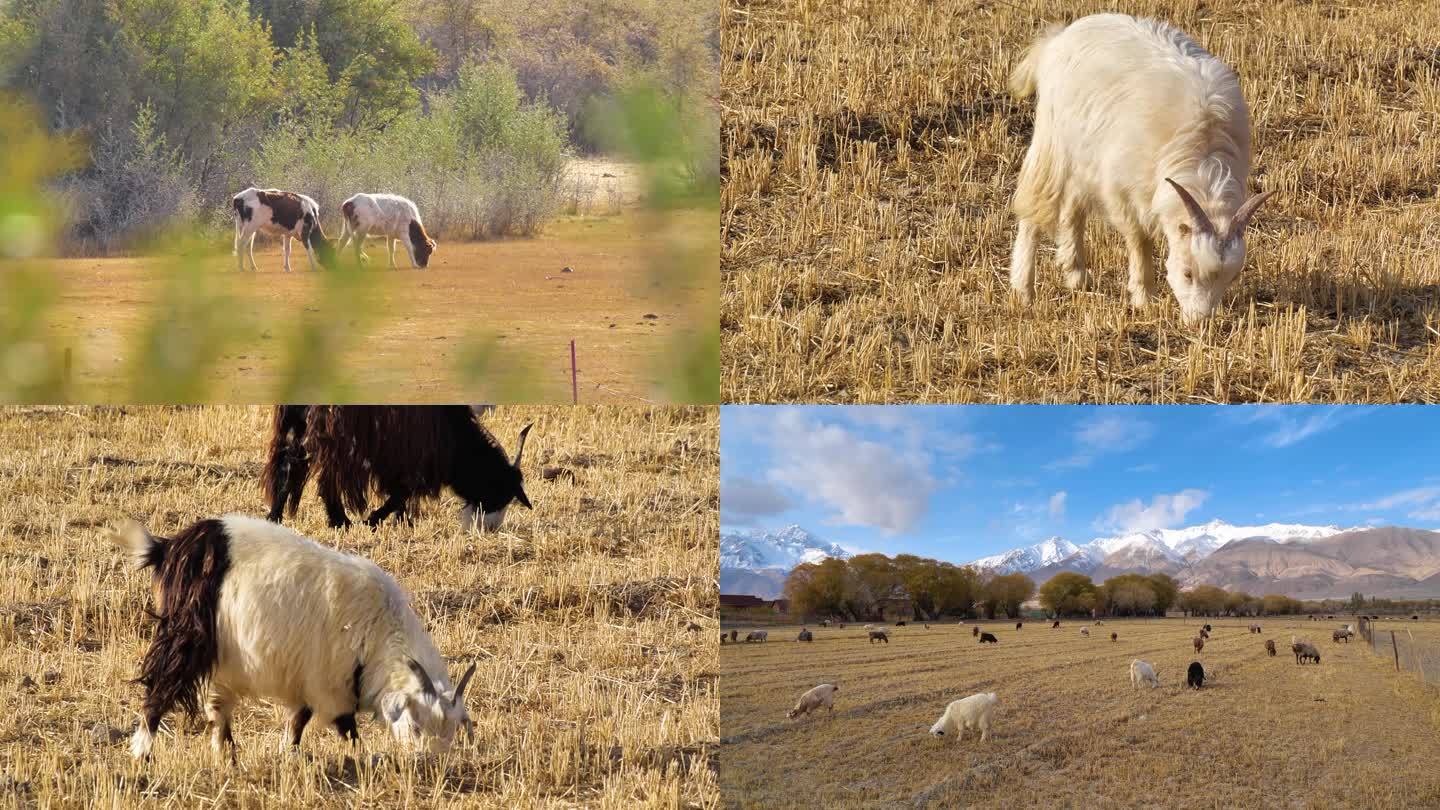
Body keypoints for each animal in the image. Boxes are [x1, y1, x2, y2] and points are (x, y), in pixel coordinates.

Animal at [113, 510, 472, 755]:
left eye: (452, 731)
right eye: (415, 726)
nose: (427, 763)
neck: (377, 631)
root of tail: (170, 548)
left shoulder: (307, 682)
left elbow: (297, 722)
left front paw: (289, 754)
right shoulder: (330, 686)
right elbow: (344, 730)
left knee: (218, 709)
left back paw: (228, 757)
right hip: (184, 637)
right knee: (161, 687)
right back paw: (142, 752)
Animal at [1008, 12, 1278, 321]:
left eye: (1230, 278)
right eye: (1187, 273)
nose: (1199, 322)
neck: (1202, 150)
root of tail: (1059, 37)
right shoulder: (1122, 190)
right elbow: (1140, 240)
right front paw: (1144, 298)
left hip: (1084, 155)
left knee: (1074, 205)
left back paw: (1075, 274)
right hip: (1053, 141)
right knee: (1034, 207)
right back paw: (1023, 289)